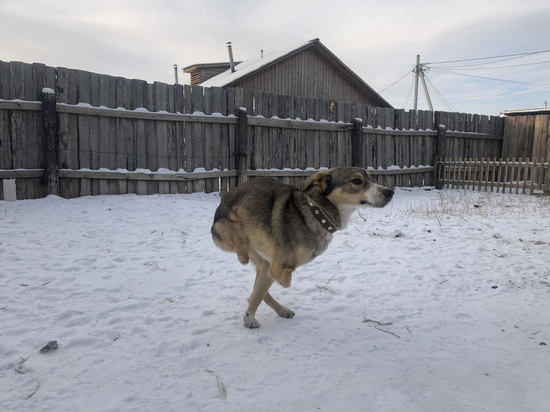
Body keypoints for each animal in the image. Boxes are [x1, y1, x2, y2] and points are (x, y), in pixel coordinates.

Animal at [212, 167, 396, 328]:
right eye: (357, 181)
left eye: (370, 178)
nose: (390, 192)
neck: (316, 212)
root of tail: (223, 201)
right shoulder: (277, 266)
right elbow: (283, 280)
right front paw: (249, 319)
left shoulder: (271, 265)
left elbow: (262, 289)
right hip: (229, 231)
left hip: (262, 260)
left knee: (259, 288)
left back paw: (280, 310)